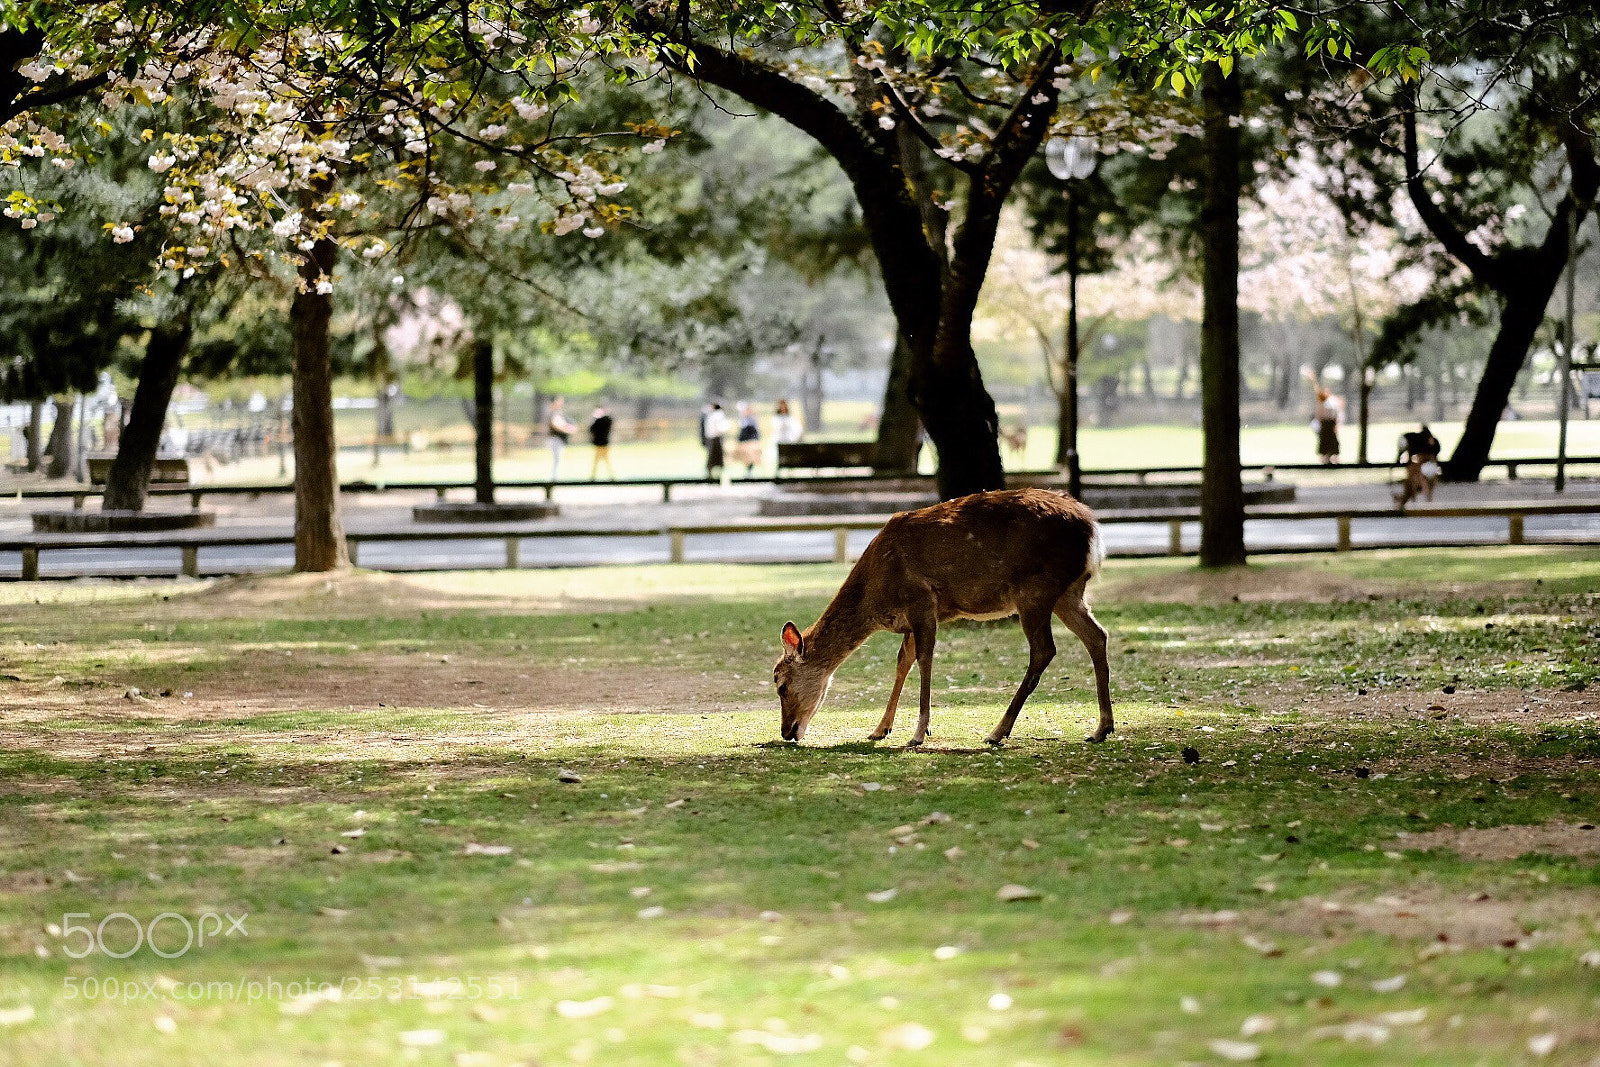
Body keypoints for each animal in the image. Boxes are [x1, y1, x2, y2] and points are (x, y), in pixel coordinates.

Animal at [773, 487, 1113, 748]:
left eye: (781, 686)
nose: (787, 732)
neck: (876, 594)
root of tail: (1094, 532)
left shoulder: (922, 600)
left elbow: (925, 659)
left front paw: (918, 733)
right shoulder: (910, 619)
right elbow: (903, 662)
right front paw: (880, 729)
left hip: (1035, 589)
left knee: (1044, 649)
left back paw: (997, 732)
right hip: (1069, 593)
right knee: (1097, 635)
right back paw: (1102, 728)